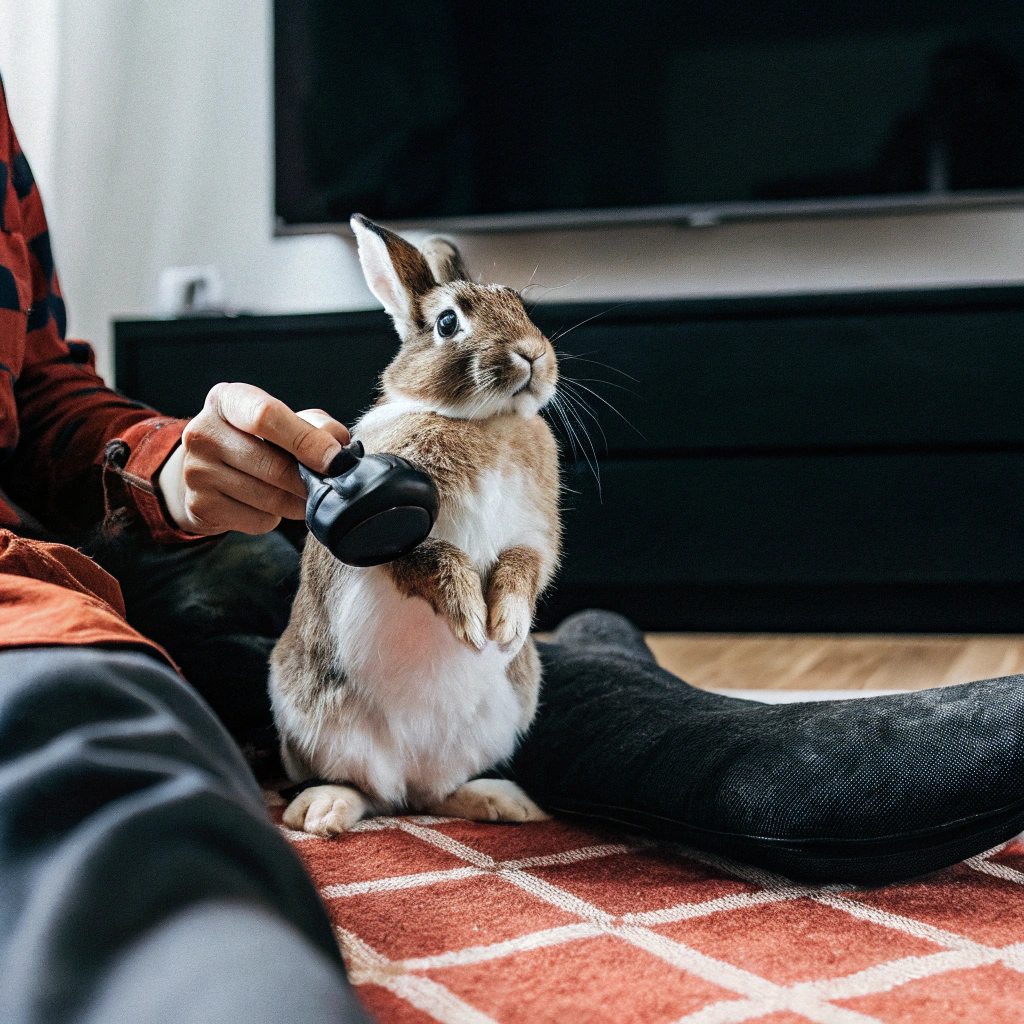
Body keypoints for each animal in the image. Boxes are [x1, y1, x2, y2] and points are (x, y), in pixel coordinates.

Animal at [269, 214, 561, 836]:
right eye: (448, 322)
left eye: (522, 305)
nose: (531, 354)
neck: (484, 421)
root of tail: (405, 779)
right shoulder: (395, 533)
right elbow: (430, 557)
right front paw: (471, 618)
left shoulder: (535, 534)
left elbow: (525, 565)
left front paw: (506, 625)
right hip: (317, 720)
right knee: (367, 791)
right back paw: (321, 812)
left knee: (433, 795)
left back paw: (504, 803)